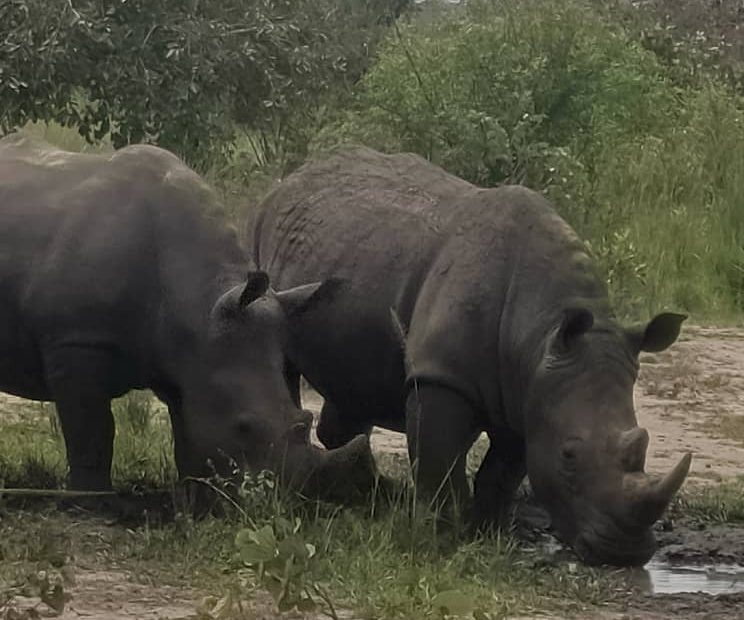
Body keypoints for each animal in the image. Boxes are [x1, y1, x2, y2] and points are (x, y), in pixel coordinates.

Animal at [0, 133, 374, 498]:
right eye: (244, 426)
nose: (288, 499)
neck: (197, 302)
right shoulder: (77, 340)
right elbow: (92, 431)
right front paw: (92, 498)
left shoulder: (183, 355)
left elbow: (188, 430)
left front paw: (194, 497)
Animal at [249, 146, 692, 566]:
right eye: (569, 455)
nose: (624, 553)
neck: (538, 330)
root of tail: (290, 178)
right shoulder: (440, 376)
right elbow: (439, 463)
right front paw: (442, 534)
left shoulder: (528, 394)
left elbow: (503, 471)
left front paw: (488, 530)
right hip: (262, 245)